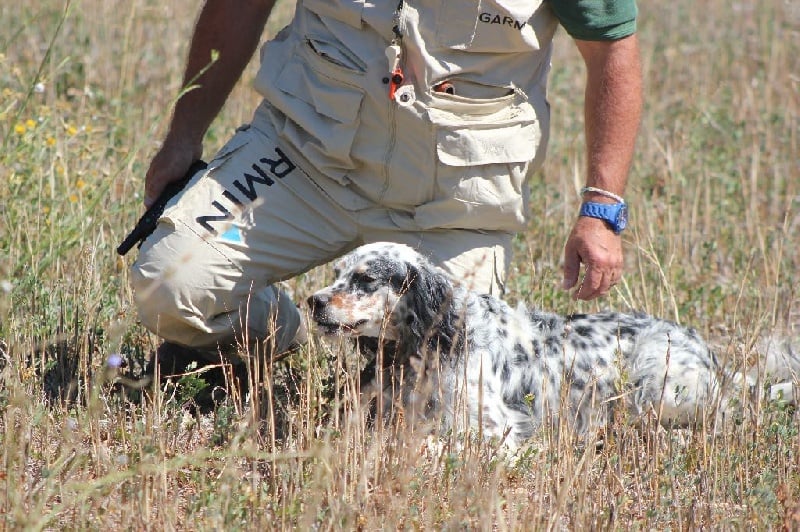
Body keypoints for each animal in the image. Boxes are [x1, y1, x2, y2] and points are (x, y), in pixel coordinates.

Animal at [306, 243, 792, 446]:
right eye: (336, 273)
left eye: (365, 279)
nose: (314, 302)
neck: (442, 336)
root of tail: (714, 359)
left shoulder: (494, 427)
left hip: (657, 385)